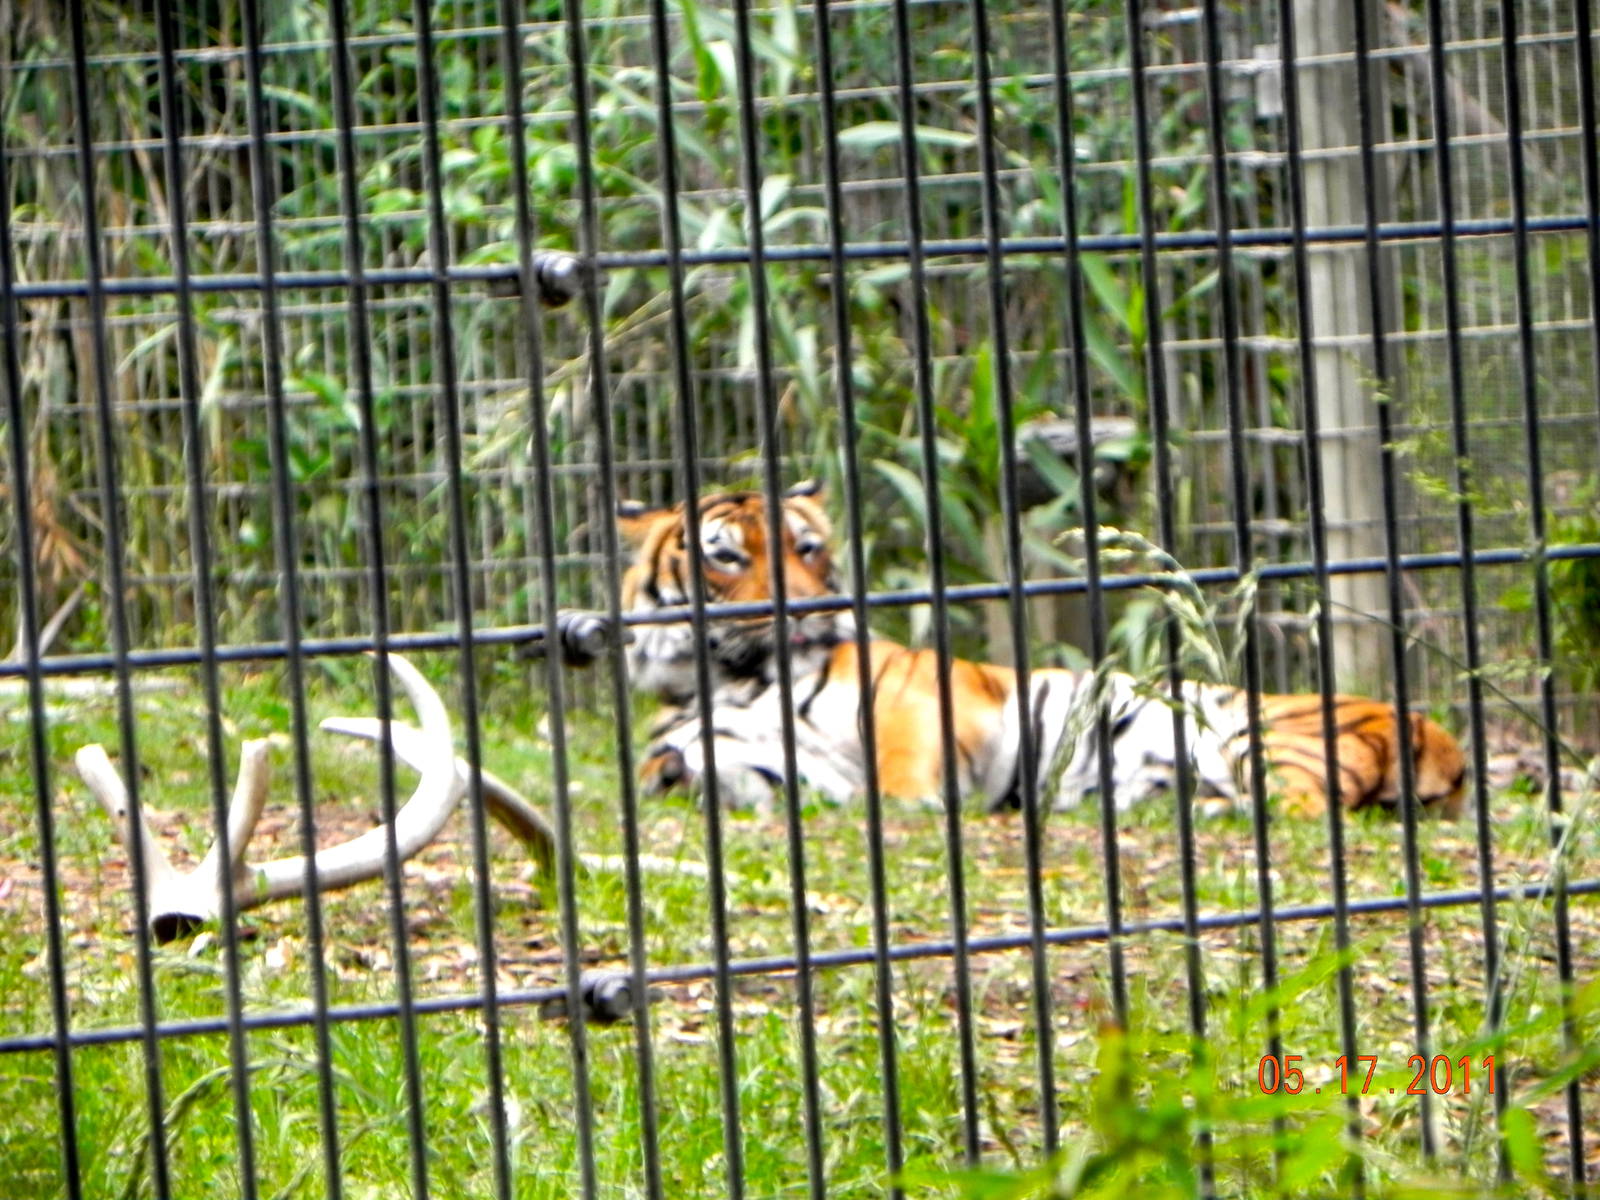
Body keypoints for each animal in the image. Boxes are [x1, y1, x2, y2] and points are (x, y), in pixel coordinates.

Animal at [620, 486, 1468, 820]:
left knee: (1300, 805)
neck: (726, 676)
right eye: (729, 556)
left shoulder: (921, 699)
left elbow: (903, 766)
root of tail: (1447, 747)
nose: (810, 606)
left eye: (806, 548)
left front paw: (925, 803)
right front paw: (671, 770)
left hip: (1266, 735)